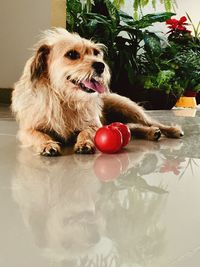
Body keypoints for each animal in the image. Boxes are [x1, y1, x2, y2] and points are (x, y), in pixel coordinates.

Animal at [10, 28, 183, 156]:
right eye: (72, 54)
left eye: (95, 53)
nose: (101, 66)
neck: (64, 99)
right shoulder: (27, 129)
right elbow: (39, 134)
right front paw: (47, 144)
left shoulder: (94, 124)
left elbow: (86, 132)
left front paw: (84, 142)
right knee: (130, 128)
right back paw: (151, 133)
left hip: (129, 108)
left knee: (150, 122)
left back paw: (169, 130)